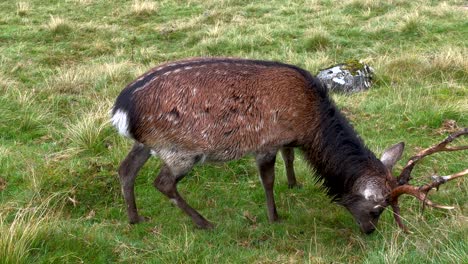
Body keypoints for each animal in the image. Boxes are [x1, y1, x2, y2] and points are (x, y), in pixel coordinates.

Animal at [110, 57, 468, 233]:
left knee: (126, 169)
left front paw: (294, 183)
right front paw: (274, 217)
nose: (369, 230)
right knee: (163, 182)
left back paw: (134, 218)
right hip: (182, 149)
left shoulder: (286, 139)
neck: (309, 125)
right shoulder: (266, 140)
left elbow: (289, 157)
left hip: (150, 143)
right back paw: (205, 223)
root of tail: (121, 109)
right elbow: (268, 179)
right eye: (376, 209)